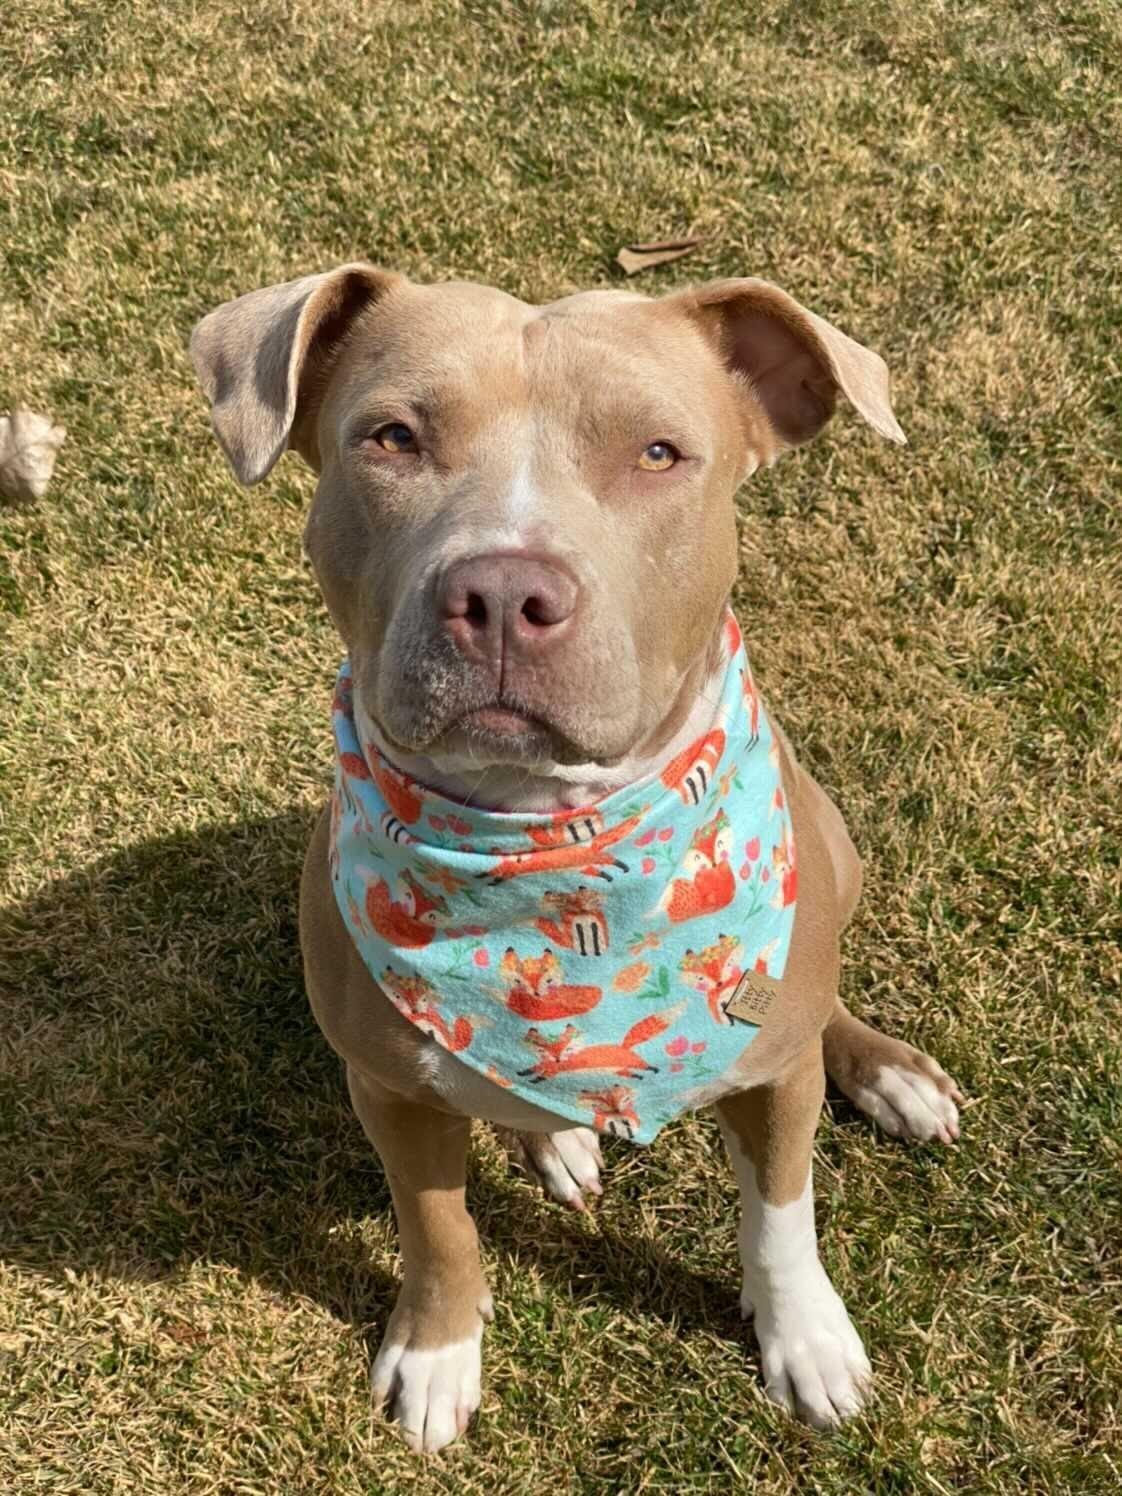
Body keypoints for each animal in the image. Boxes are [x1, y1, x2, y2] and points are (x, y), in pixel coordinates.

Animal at [518, 1003, 685, 1082]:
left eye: (566, 1049)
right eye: (544, 1050)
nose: (557, 1058)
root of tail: (623, 1046)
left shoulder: (556, 1070)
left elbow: (543, 1076)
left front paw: (534, 1080)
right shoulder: (543, 1064)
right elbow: (533, 1068)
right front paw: (523, 1072)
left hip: (634, 1062)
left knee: (644, 1065)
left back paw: (653, 1069)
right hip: (620, 1071)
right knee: (631, 1074)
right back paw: (640, 1077)